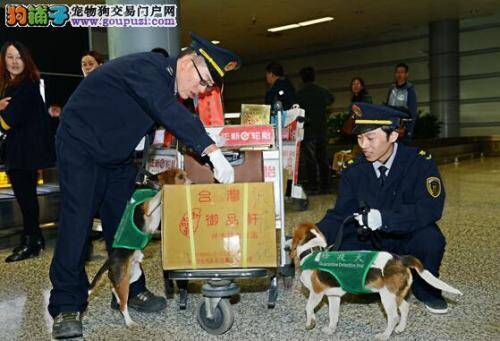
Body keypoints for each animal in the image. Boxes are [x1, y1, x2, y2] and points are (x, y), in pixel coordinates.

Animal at [88, 168, 189, 326]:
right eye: (180, 177)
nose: (191, 182)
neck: (151, 184)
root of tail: (110, 259)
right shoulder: (148, 207)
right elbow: (159, 195)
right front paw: (163, 189)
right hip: (123, 280)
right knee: (123, 305)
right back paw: (129, 322)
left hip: (133, 275)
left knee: (115, 289)